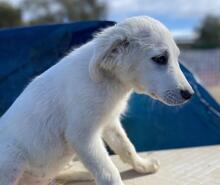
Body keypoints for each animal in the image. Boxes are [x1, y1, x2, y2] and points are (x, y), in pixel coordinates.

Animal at [0, 16, 192, 185]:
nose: (190, 94)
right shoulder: (82, 135)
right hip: (11, 158)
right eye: (160, 59)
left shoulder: (110, 122)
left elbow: (126, 147)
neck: (110, 81)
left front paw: (142, 165)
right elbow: (108, 171)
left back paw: (82, 173)